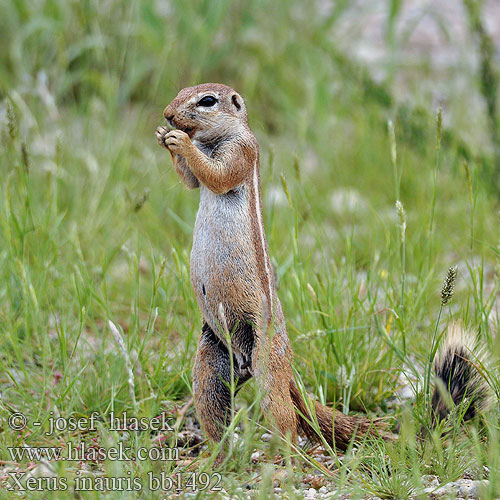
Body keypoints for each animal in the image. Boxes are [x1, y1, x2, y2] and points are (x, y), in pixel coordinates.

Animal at [154, 85, 490, 458]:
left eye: (207, 101)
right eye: (181, 91)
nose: (168, 114)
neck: (215, 138)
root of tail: (280, 370)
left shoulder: (241, 152)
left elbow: (217, 175)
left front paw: (179, 141)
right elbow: (191, 181)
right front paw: (164, 136)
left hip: (266, 361)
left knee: (285, 417)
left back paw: (281, 458)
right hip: (211, 359)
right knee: (215, 409)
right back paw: (214, 458)